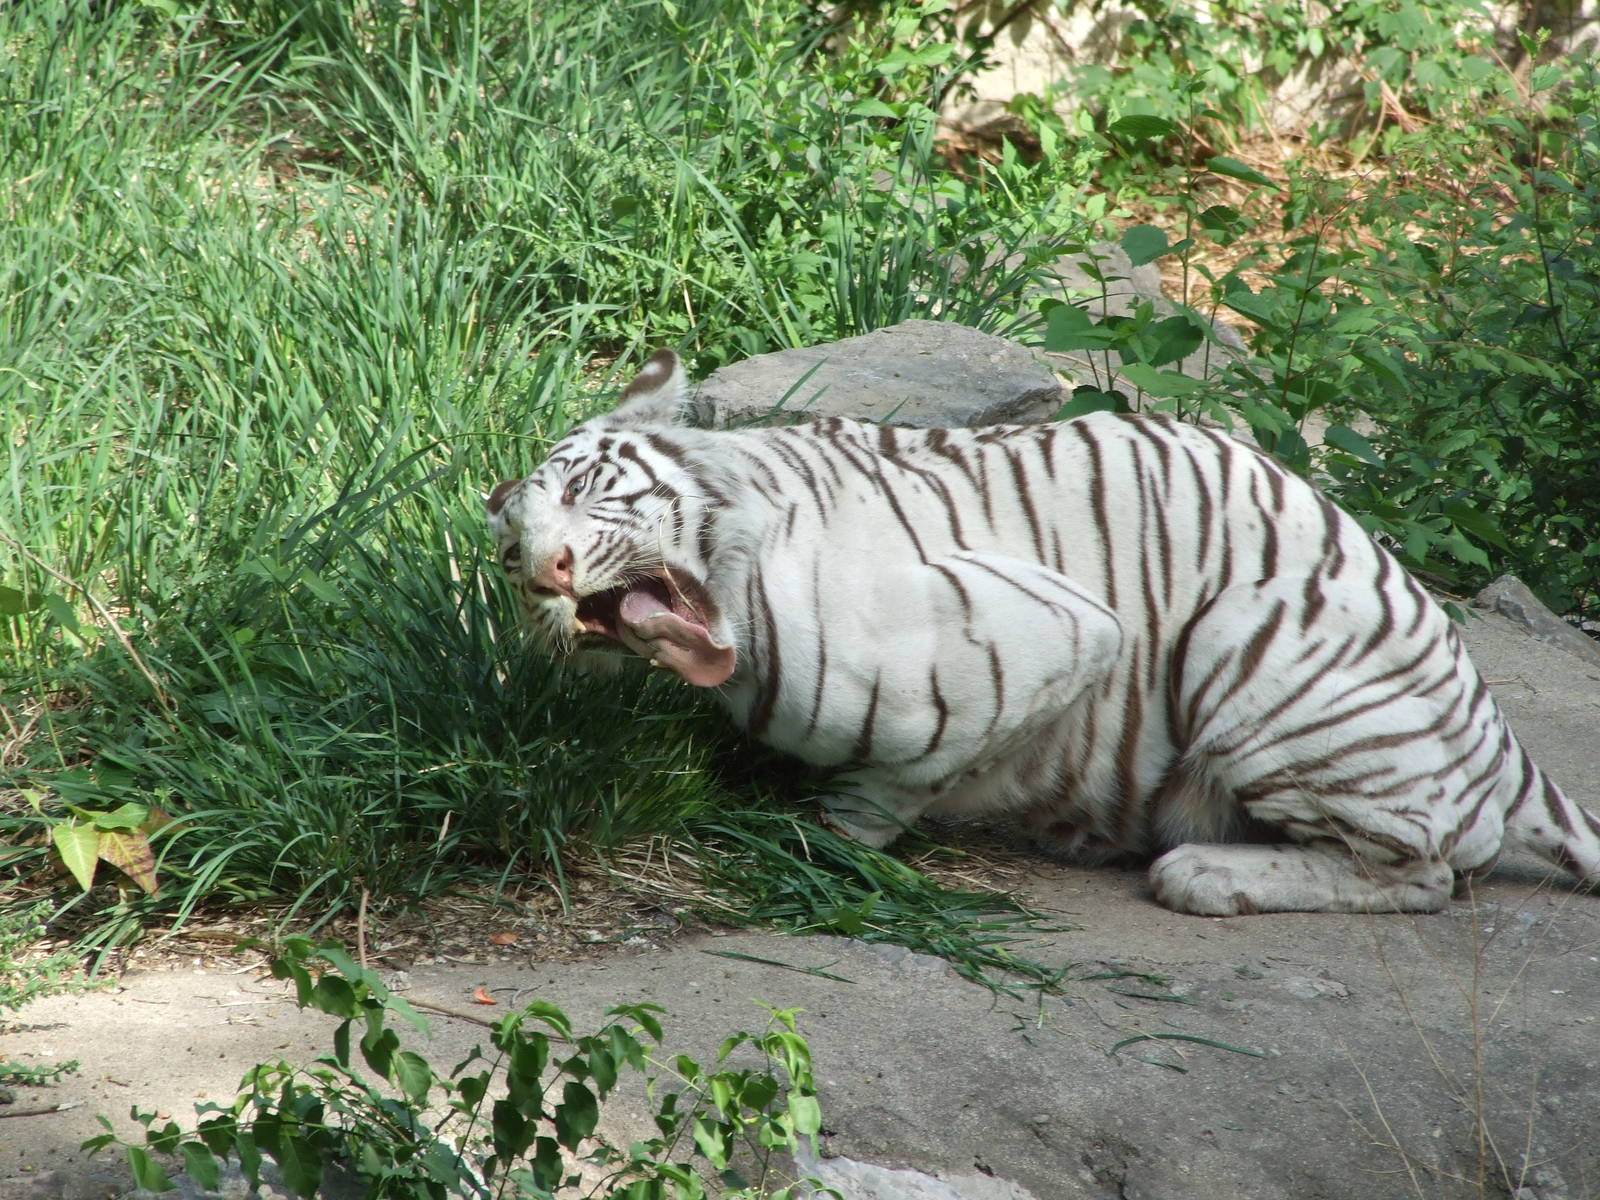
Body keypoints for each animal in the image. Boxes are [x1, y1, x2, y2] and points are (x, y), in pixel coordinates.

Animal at [485, 348, 1600, 915]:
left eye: (581, 490)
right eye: (508, 553)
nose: (548, 571)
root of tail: (1497, 737)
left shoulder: (1060, 631)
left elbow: (894, 783)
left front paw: (826, 838)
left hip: (1256, 653)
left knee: (1425, 873)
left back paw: (1203, 873)